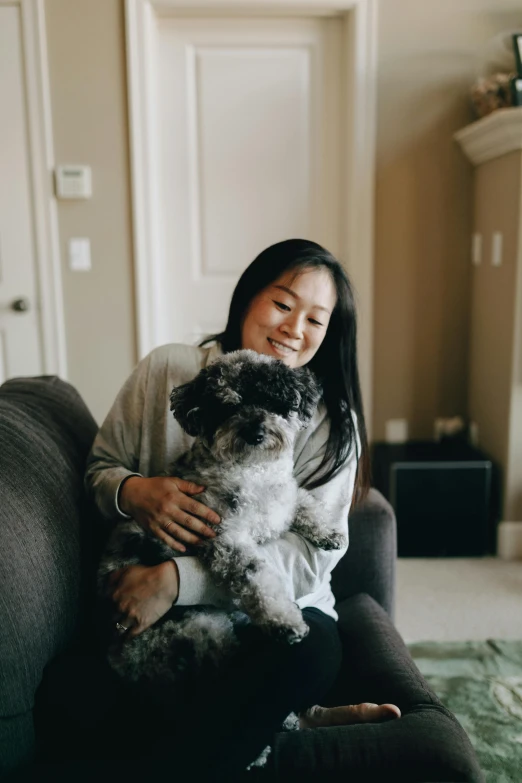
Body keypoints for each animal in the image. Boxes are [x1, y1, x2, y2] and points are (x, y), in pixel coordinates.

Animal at [98, 350, 346, 688]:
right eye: (228, 406)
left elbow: (306, 503)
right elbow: (257, 578)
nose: (255, 432)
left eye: (271, 400)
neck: (253, 472)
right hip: (204, 632)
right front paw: (283, 619)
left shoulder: (284, 500)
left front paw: (328, 530)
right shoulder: (225, 538)